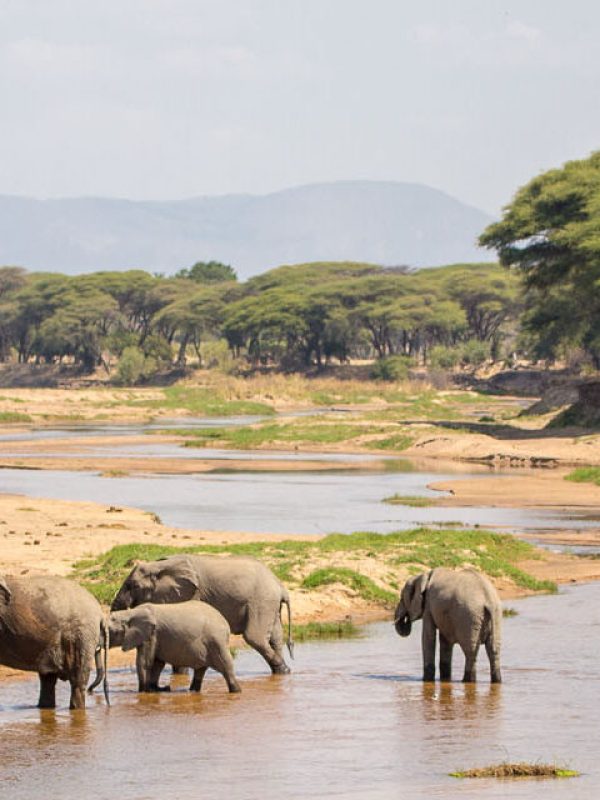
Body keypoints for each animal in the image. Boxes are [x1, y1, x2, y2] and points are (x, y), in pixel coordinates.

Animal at [109, 600, 240, 692]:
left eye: (111, 631)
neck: (129, 612)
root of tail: (225, 624)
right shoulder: (153, 636)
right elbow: (157, 663)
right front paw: (156, 689)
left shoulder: (150, 634)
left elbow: (145, 663)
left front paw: (143, 693)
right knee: (200, 671)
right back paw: (192, 691)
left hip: (216, 642)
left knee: (226, 667)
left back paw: (236, 691)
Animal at [111, 556, 294, 676]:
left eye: (133, 586)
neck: (159, 566)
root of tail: (280, 585)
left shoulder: (192, 594)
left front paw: (180, 676)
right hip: (269, 604)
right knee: (276, 637)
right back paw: (282, 672)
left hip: (261, 601)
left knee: (254, 637)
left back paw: (283, 670)